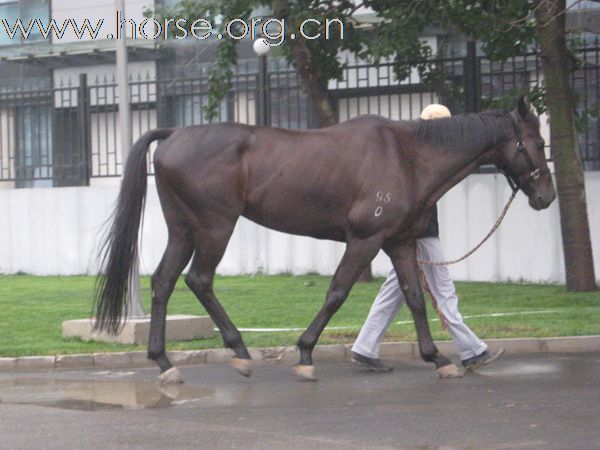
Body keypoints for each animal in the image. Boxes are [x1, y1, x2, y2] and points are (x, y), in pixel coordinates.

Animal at [95, 96, 556, 384]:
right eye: (537, 142)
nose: (547, 196)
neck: (408, 156)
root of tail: (173, 134)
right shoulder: (365, 240)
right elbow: (336, 293)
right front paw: (305, 355)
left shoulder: (400, 243)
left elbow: (415, 297)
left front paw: (439, 358)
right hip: (214, 227)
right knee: (199, 280)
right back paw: (239, 352)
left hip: (184, 229)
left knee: (163, 282)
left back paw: (164, 362)